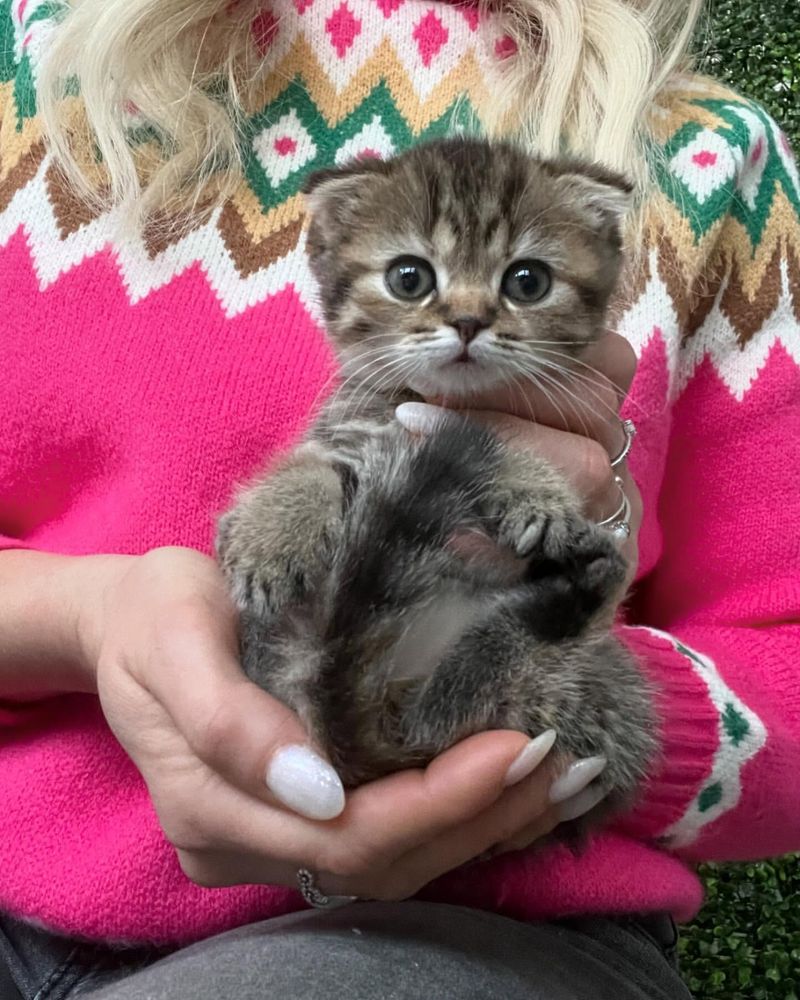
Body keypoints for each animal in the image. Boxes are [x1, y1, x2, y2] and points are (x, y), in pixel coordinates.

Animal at [217, 137, 656, 832]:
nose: (470, 321)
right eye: (409, 278)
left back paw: (585, 581)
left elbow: (499, 442)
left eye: (527, 281)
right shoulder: (349, 432)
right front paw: (274, 533)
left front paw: (537, 492)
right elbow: (310, 466)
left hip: (584, 690)